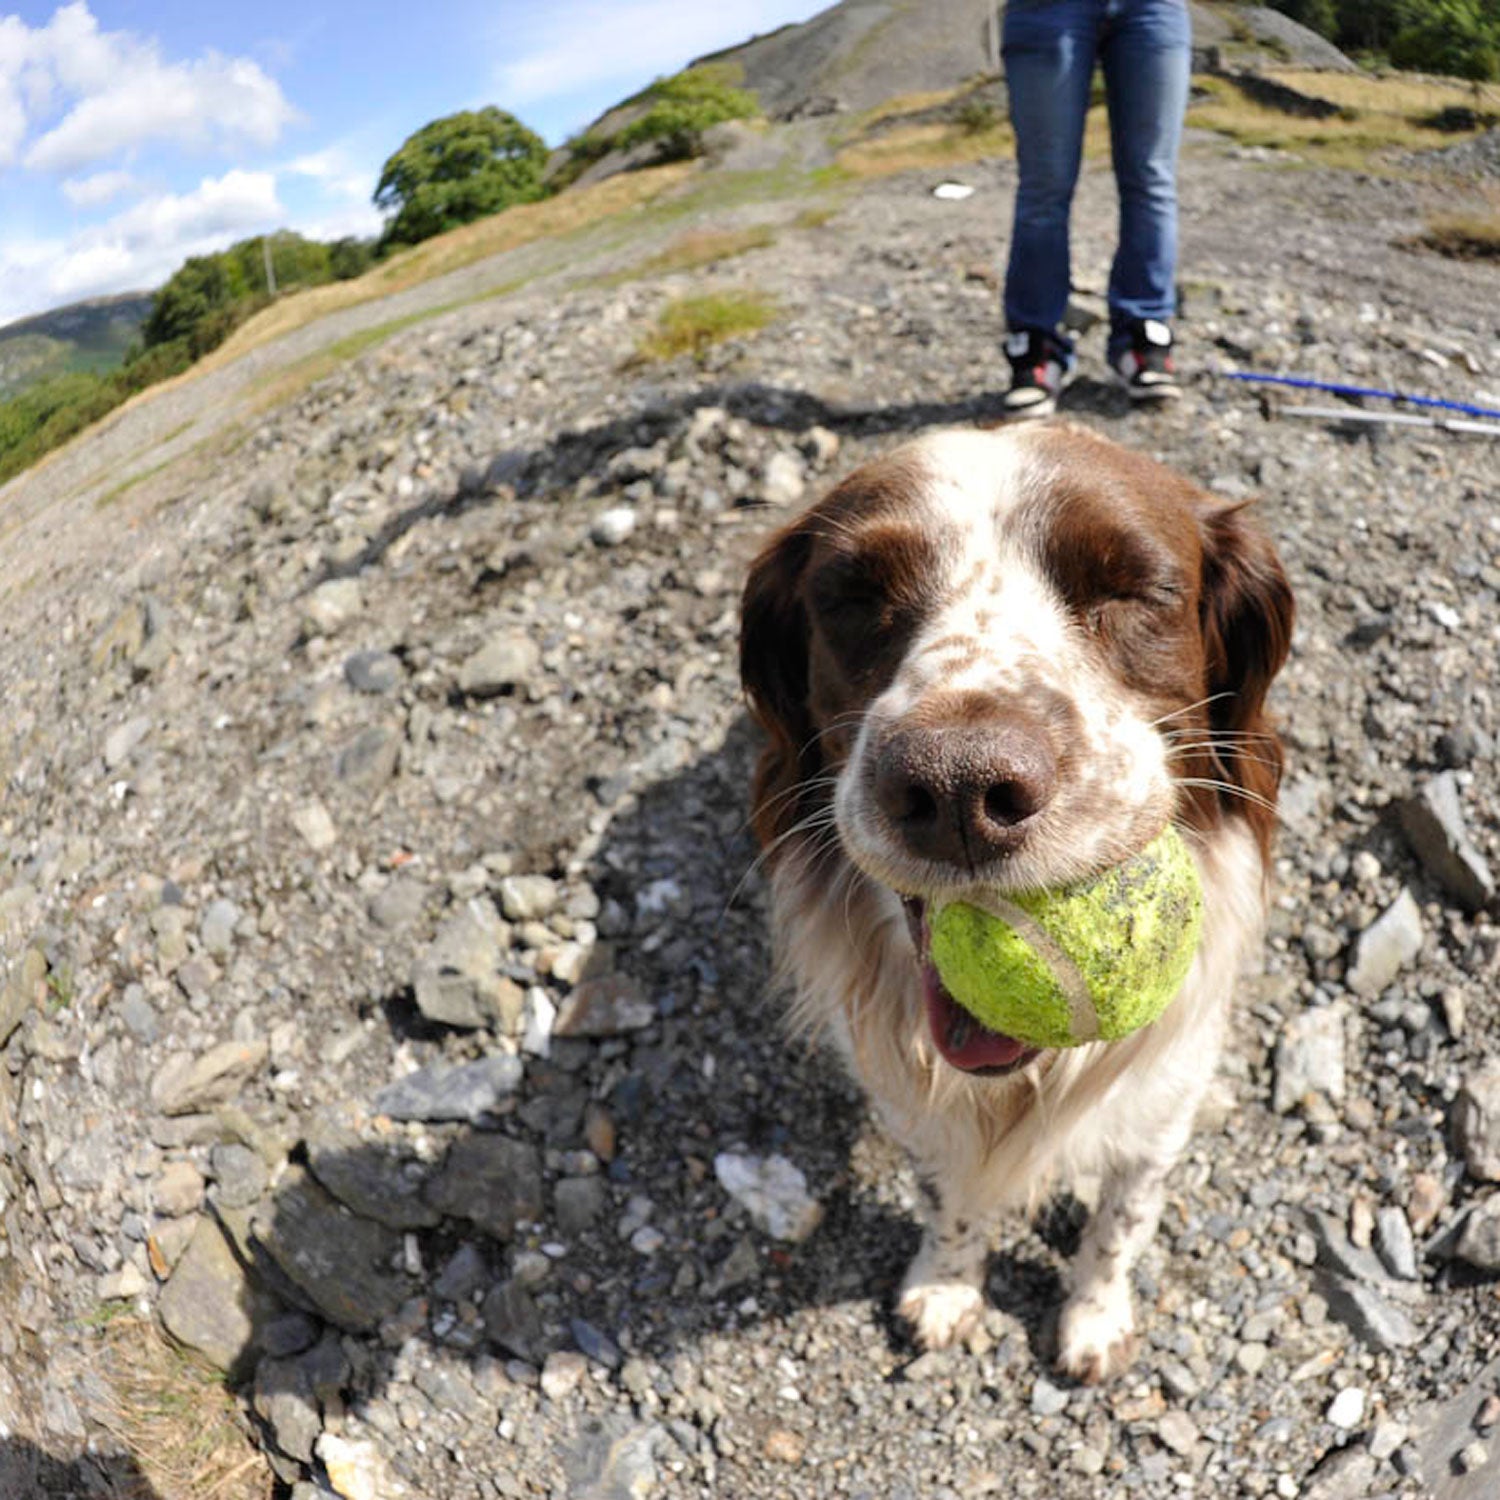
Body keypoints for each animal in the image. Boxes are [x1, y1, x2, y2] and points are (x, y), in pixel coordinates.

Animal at [738, 426, 1290, 1380]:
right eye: (855, 596)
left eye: (1132, 589)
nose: (957, 789)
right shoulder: (911, 1102)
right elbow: (950, 1201)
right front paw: (947, 1287)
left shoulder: (1162, 1108)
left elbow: (1121, 1223)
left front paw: (1095, 1318)